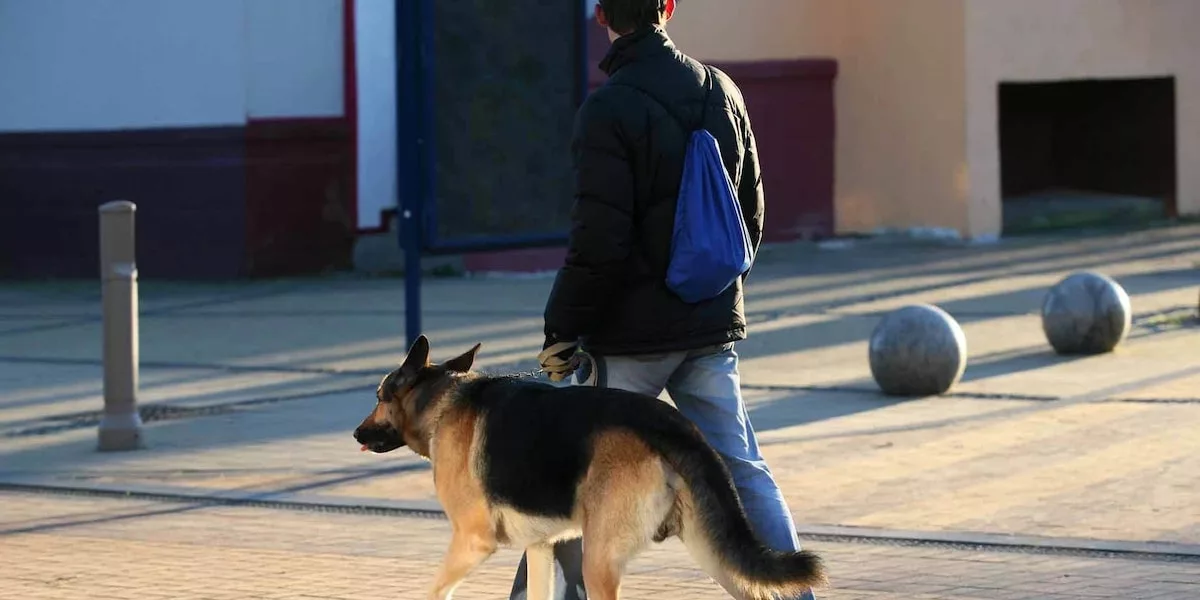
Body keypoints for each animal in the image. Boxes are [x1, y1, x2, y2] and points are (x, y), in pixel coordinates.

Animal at [352, 336, 825, 597]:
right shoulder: (541, 549)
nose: (356, 433)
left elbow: (435, 590)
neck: (443, 401)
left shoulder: (472, 541)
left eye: (378, 396)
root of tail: (673, 426)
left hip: (599, 561)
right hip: (714, 554)